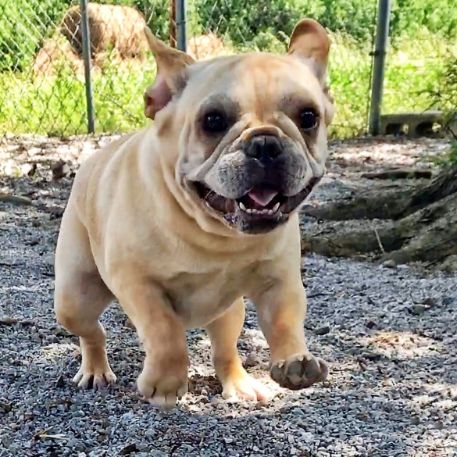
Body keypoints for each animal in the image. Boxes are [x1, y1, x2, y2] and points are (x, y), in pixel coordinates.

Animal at [53, 18, 334, 410]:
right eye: (212, 121)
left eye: (308, 117)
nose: (265, 143)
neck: (215, 235)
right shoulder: (138, 284)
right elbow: (165, 331)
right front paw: (166, 382)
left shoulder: (281, 281)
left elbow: (284, 320)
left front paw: (295, 361)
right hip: (74, 297)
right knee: (92, 330)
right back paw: (95, 369)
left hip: (229, 312)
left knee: (225, 348)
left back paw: (239, 383)